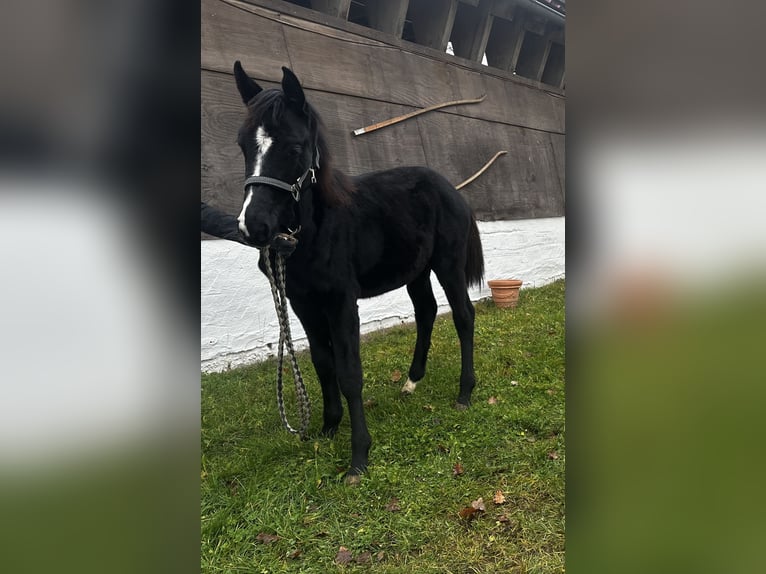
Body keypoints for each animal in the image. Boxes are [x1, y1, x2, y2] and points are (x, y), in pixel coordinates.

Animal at [234, 63, 486, 482]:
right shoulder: (303, 304)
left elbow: (350, 372)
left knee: (463, 316)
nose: (253, 226)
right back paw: (411, 382)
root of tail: (452, 189)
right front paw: (328, 427)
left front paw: (358, 457)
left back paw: (465, 393)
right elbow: (323, 363)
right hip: (416, 272)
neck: (316, 230)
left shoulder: (340, 301)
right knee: (426, 312)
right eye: (243, 145)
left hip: (447, 265)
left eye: (294, 146)